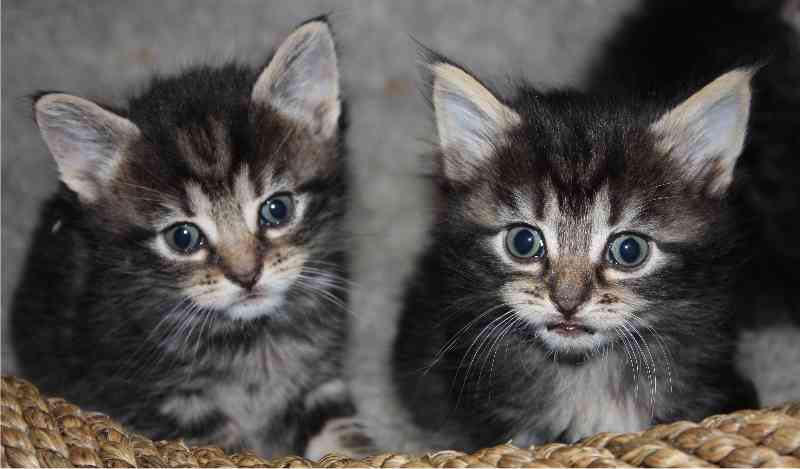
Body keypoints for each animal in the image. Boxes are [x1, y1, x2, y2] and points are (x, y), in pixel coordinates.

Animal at [11, 17, 357, 458]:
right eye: (183, 238)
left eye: (276, 210)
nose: (247, 275)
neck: (248, 339)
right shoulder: (160, 402)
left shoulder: (316, 377)